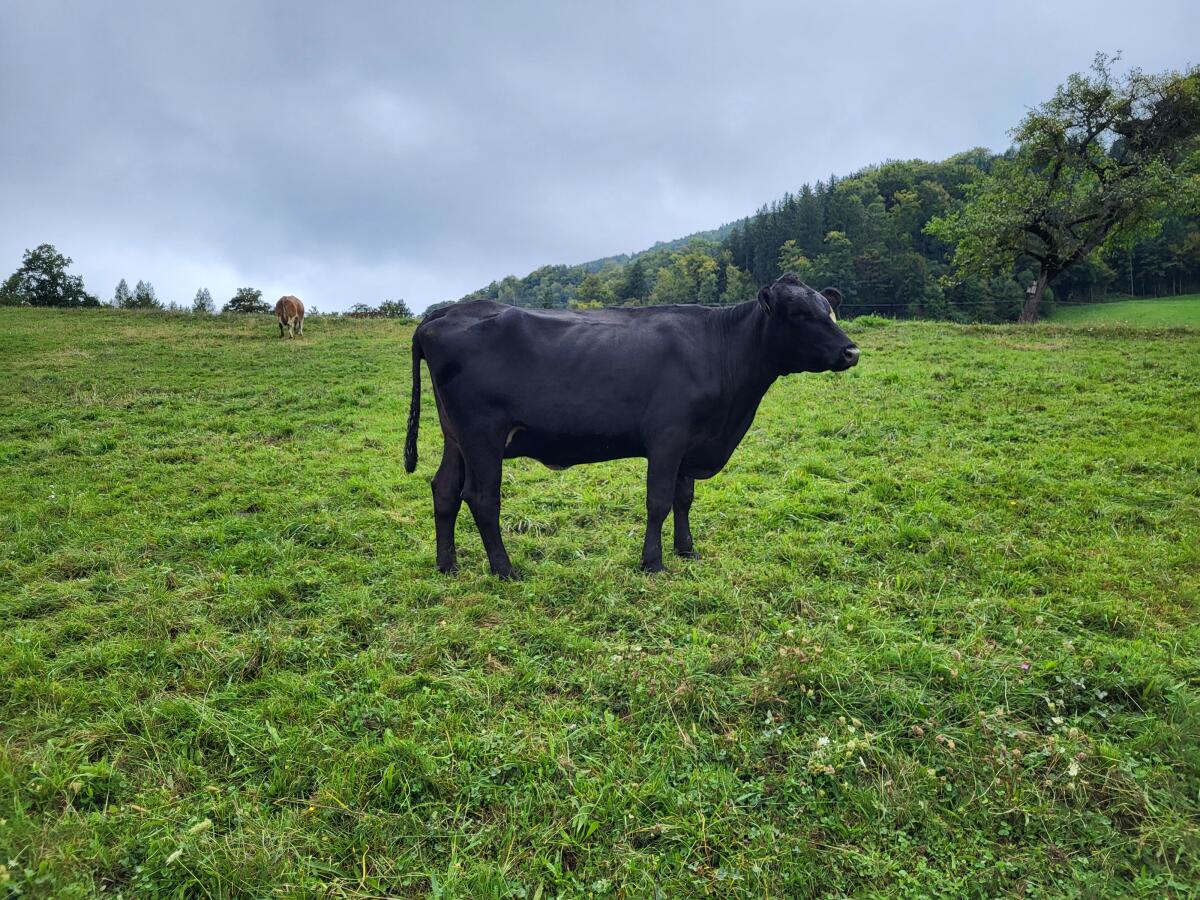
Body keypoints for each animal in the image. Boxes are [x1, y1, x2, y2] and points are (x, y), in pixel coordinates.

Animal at [404, 274, 859, 577]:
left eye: (830, 310)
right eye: (798, 314)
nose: (851, 351)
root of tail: (444, 312)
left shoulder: (691, 442)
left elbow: (684, 497)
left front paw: (686, 550)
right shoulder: (667, 437)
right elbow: (658, 500)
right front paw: (653, 562)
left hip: (456, 437)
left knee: (444, 489)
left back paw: (447, 565)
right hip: (483, 435)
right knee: (481, 498)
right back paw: (505, 570)